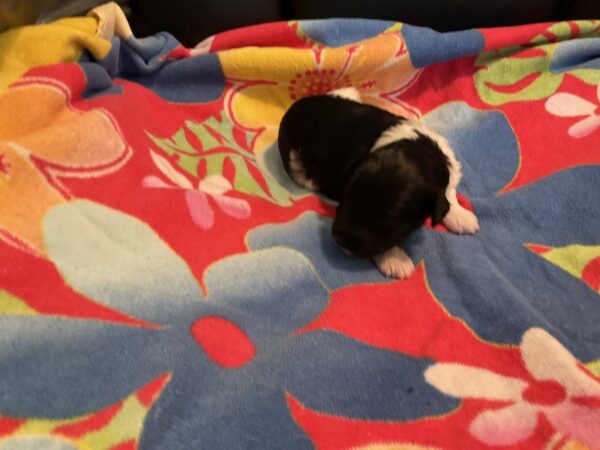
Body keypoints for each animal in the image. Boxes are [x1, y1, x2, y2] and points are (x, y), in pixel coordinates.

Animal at [277, 87, 479, 279]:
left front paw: (462, 216)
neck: (419, 149)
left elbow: (448, 192)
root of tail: (294, 107)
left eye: (385, 221)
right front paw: (395, 260)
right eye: (347, 196)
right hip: (296, 163)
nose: (338, 238)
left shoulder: (449, 168)